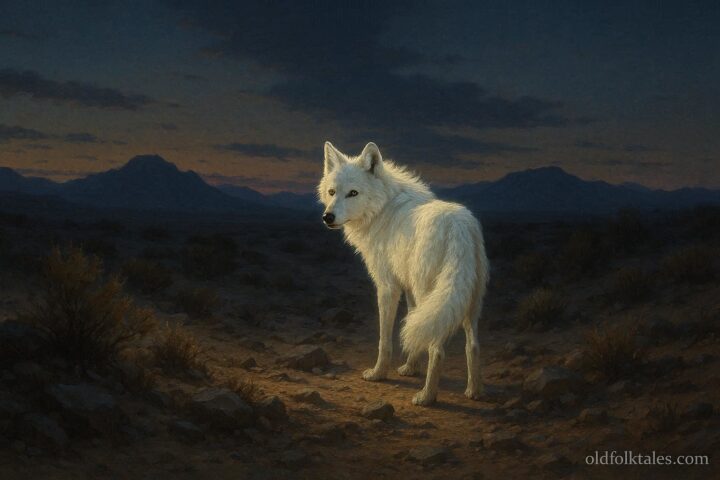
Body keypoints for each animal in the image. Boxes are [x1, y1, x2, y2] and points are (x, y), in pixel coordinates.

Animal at [318, 141, 489, 405]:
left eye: (353, 193)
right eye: (332, 192)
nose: (328, 217)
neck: (382, 209)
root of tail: (457, 226)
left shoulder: (387, 287)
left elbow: (385, 339)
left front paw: (378, 373)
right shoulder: (408, 289)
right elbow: (412, 325)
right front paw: (410, 368)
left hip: (431, 293)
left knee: (437, 349)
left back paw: (427, 397)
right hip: (468, 301)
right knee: (473, 345)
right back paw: (474, 391)